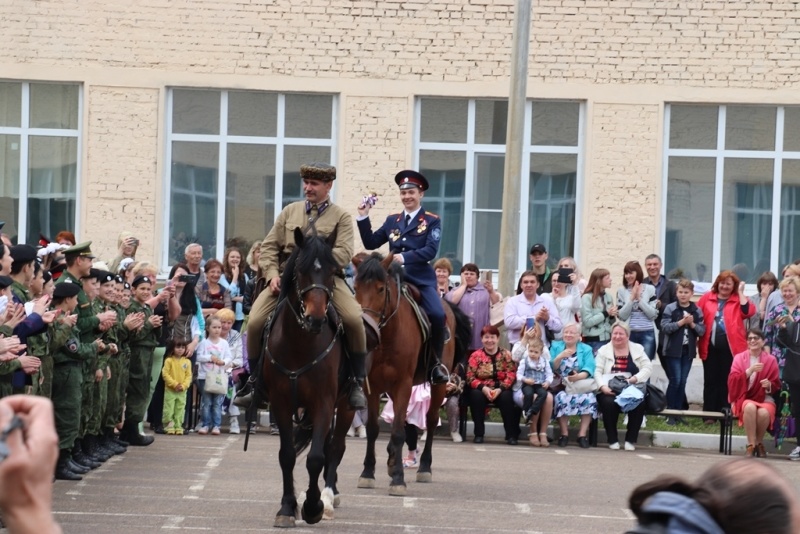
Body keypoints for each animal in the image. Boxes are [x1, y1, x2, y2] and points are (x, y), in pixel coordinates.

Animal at [260, 228, 348, 528]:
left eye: (333, 271)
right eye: (300, 269)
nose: (316, 318)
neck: (300, 343)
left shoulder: (324, 402)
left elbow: (316, 457)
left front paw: (312, 506)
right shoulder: (281, 403)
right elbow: (287, 456)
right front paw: (287, 507)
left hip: (347, 405)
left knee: (335, 447)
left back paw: (329, 498)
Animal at [348, 253, 468, 496]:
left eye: (381, 289)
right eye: (355, 288)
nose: (365, 331)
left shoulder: (403, 384)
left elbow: (398, 432)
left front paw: (398, 479)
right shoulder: (372, 386)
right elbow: (374, 429)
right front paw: (368, 473)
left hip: (438, 386)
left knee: (430, 421)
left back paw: (424, 468)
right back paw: (392, 460)